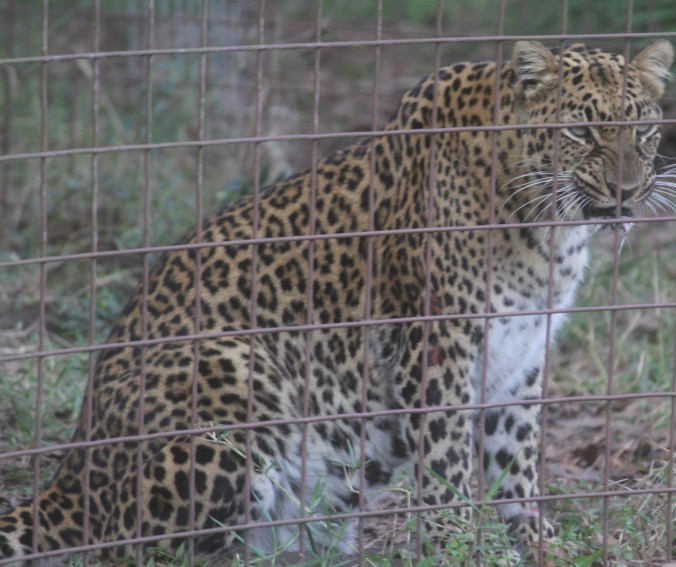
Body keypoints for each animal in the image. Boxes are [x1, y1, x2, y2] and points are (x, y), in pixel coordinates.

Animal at [0, 40, 673, 564]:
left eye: (643, 130)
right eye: (580, 130)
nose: (626, 191)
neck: (551, 231)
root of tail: (67, 480)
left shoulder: (522, 356)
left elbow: (518, 462)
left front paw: (534, 541)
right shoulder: (439, 347)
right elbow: (448, 463)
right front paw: (456, 544)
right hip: (231, 373)